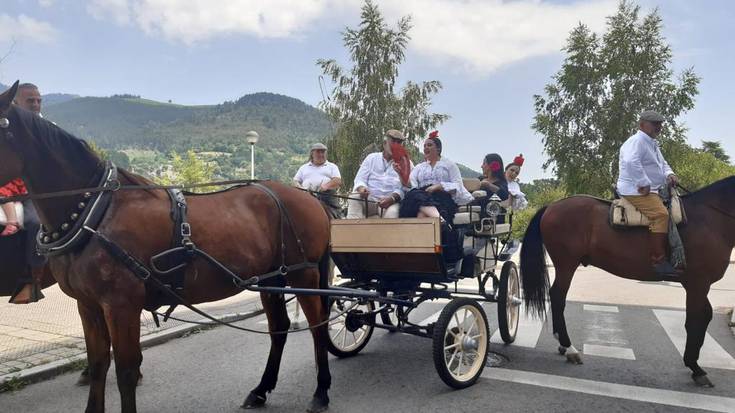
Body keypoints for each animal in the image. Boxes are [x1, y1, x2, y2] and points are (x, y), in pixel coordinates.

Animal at [0, 82, 334, 410]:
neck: (95, 212)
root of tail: (309, 197)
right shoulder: (89, 305)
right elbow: (98, 365)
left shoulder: (122, 305)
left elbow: (126, 371)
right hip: (271, 280)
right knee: (279, 329)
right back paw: (261, 390)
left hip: (303, 274)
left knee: (318, 325)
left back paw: (321, 390)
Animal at [520, 183, 732, 386]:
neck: (709, 218)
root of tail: (551, 206)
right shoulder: (698, 283)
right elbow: (694, 321)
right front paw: (695, 367)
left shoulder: (698, 285)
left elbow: (705, 316)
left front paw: (695, 364)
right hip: (567, 264)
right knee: (557, 297)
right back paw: (569, 347)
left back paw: (564, 346)